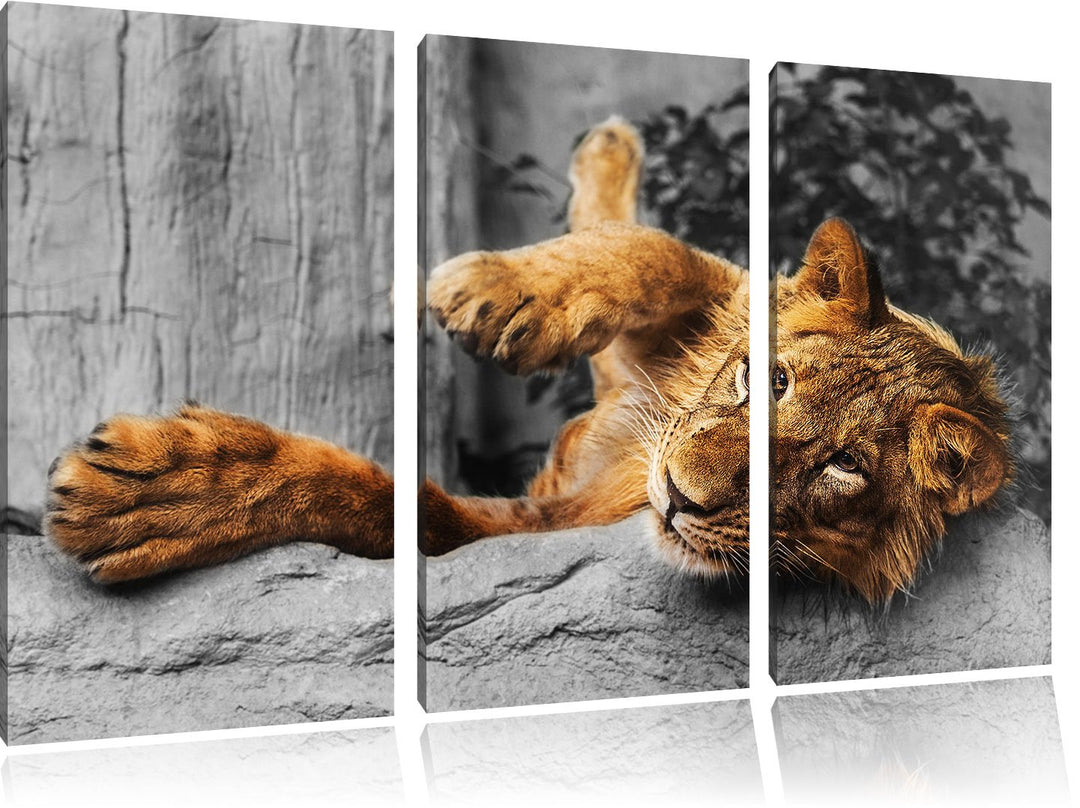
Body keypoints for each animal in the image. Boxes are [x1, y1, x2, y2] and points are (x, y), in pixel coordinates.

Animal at [46, 118, 1009, 605]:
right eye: (768, 380)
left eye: (843, 469)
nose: (679, 495)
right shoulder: (698, 321)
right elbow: (657, 253)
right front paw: (495, 294)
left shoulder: (540, 525)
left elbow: (404, 509)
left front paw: (165, 492)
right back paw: (606, 149)